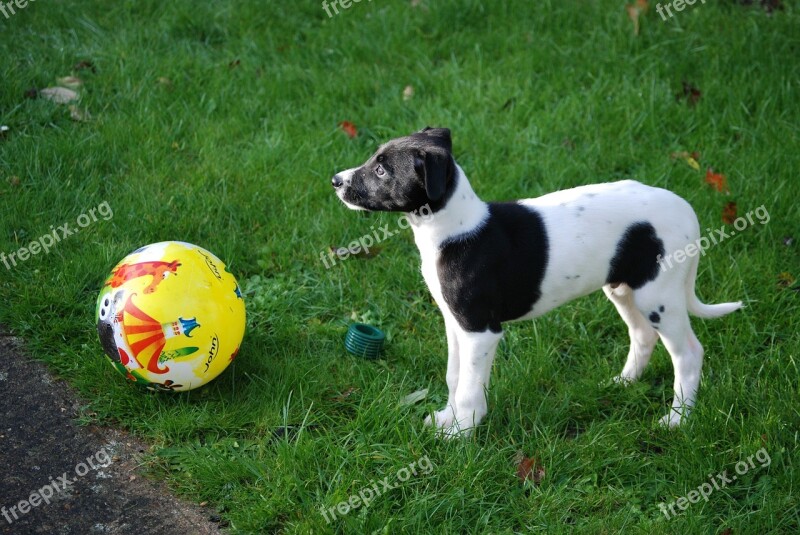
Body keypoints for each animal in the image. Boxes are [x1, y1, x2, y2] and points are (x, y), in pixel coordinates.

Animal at [332, 129, 744, 436]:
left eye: (382, 170)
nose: (336, 181)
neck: (454, 228)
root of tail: (688, 211)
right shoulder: (455, 323)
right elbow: (454, 376)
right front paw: (447, 419)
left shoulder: (481, 330)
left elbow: (469, 388)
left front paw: (461, 432)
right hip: (623, 289)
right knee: (642, 336)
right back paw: (623, 383)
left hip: (659, 297)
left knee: (688, 354)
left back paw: (678, 420)